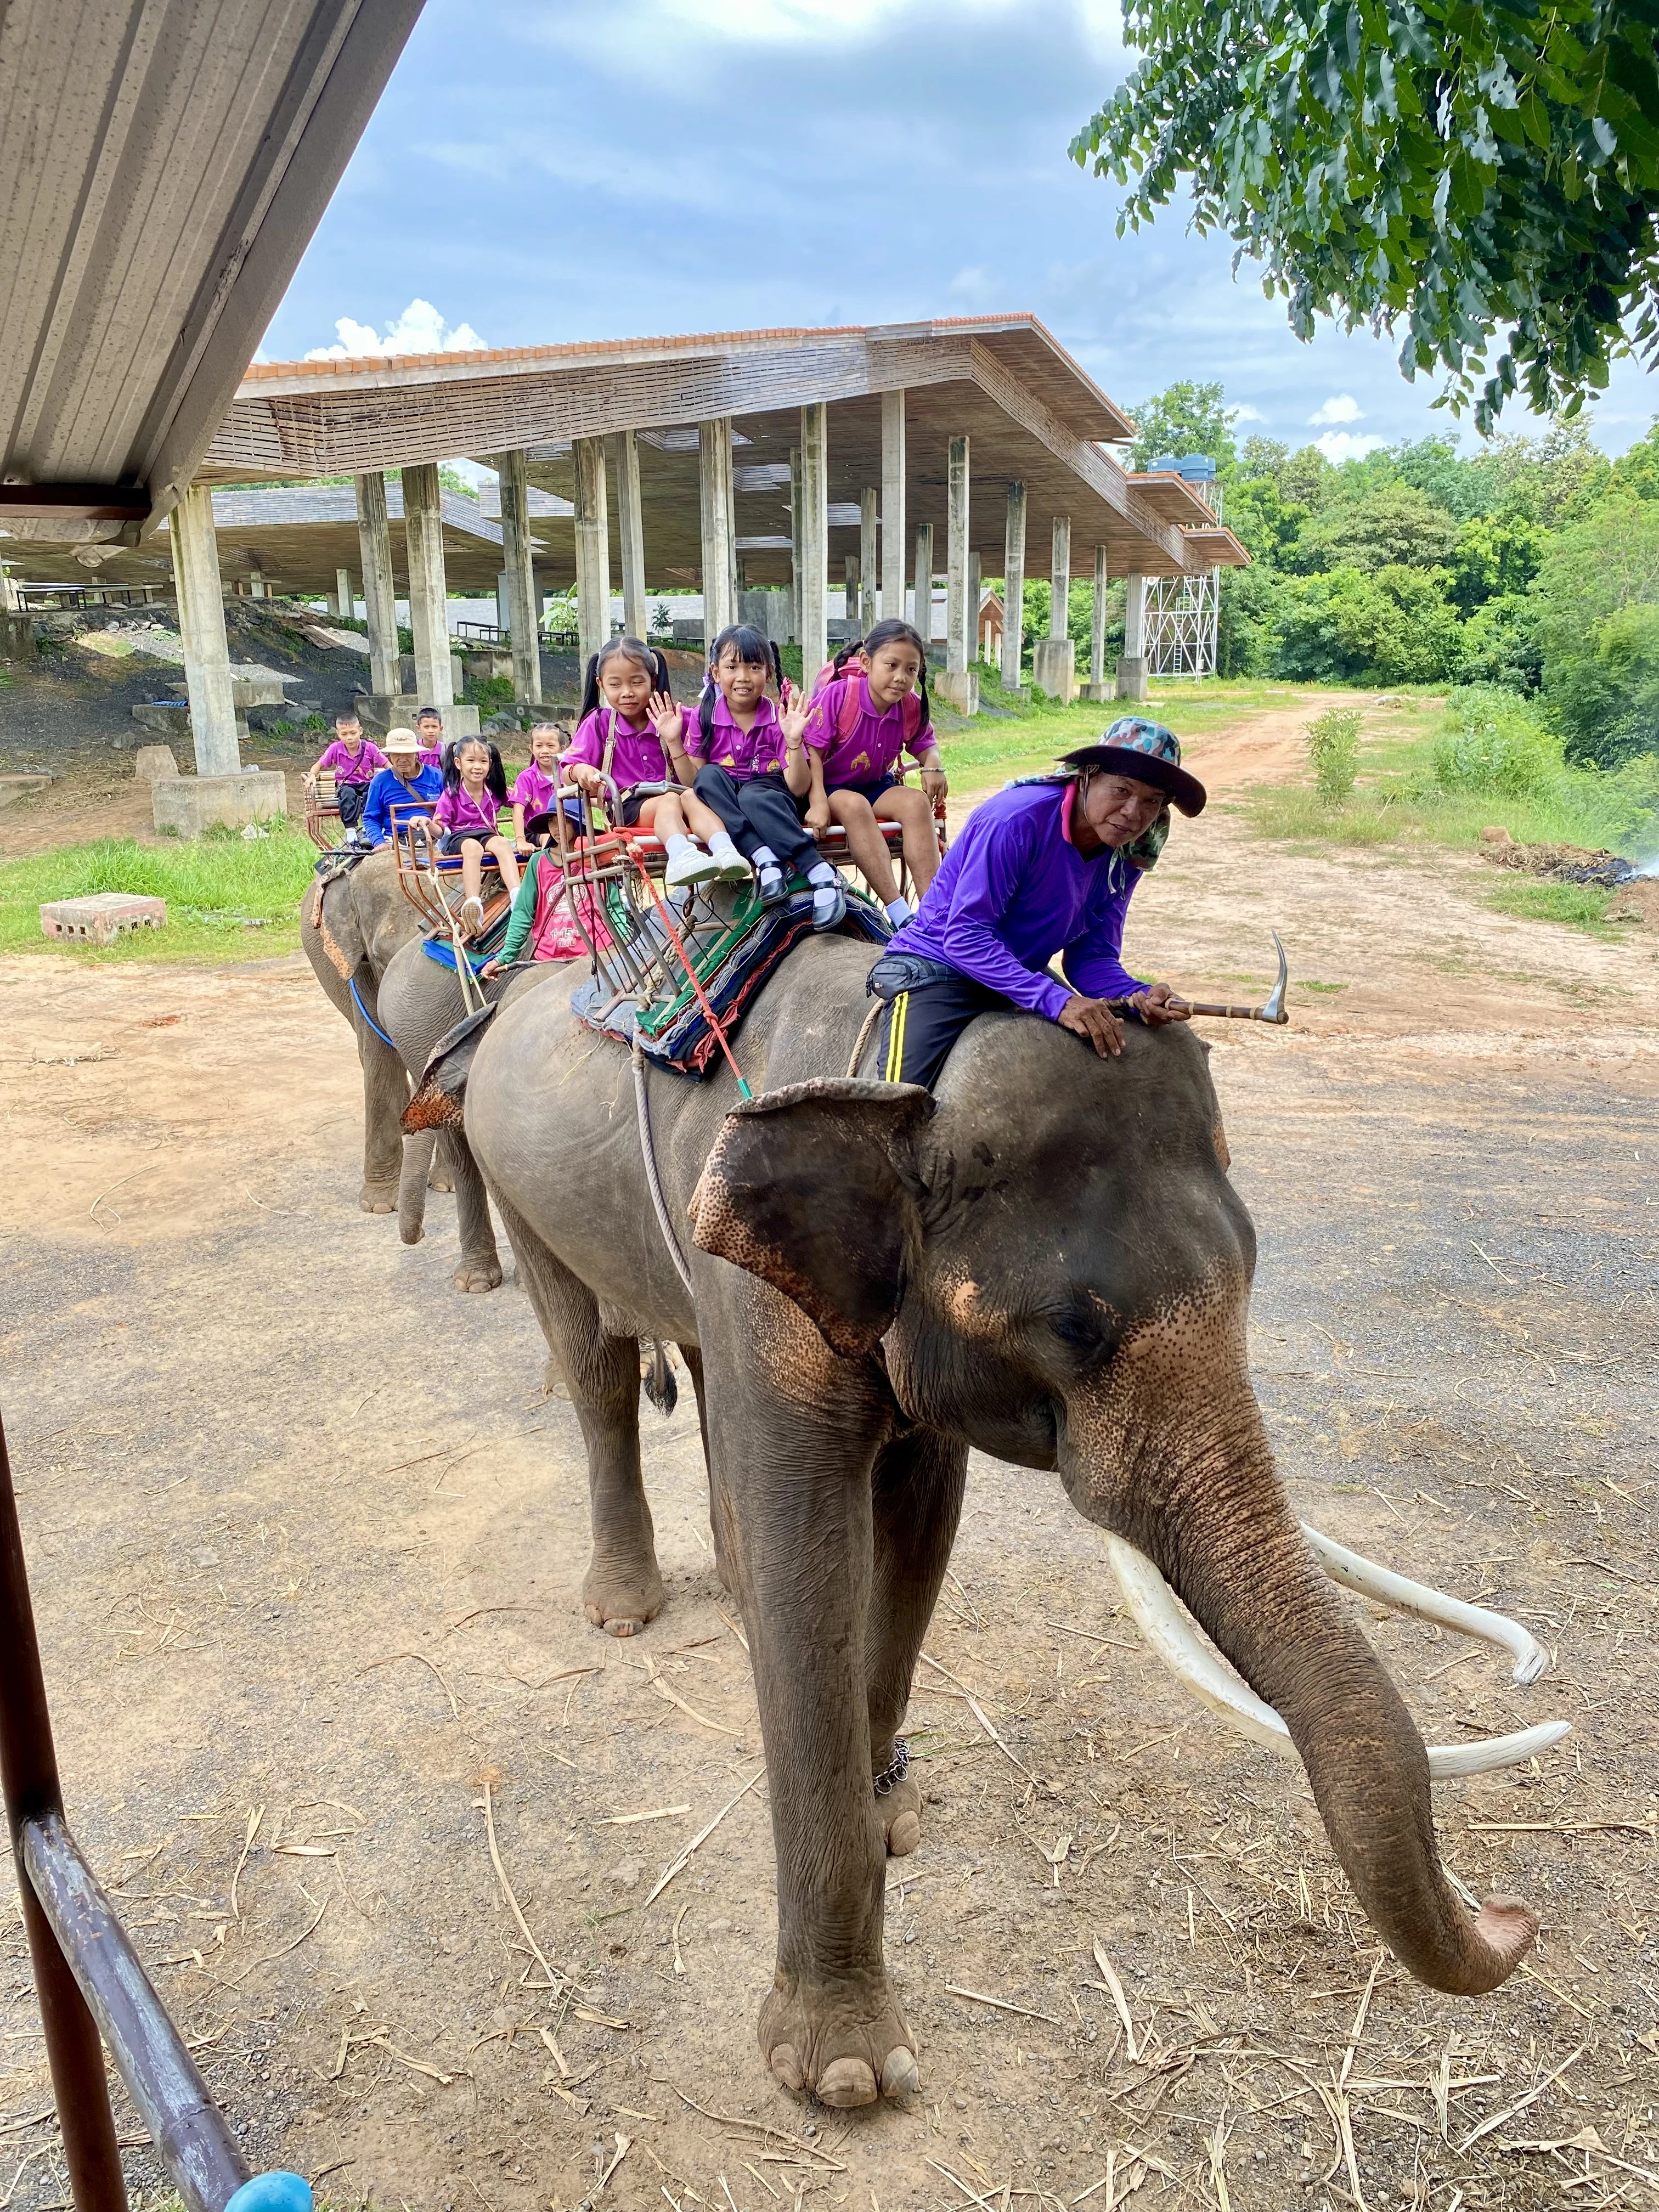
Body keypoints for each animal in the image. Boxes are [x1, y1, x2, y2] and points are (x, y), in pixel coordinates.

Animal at [407, 929, 1548, 2106]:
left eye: (1251, 1273)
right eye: (1075, 1327)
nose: (1517, 1915)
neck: (905, 1082)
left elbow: (917, 1524)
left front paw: (890, 1816)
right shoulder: (767, 1297)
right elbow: (809, 1557)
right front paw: (845, 2072)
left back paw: (727, 1596)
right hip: (516, 1178)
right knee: (593, 1364)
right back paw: (625, 1609)